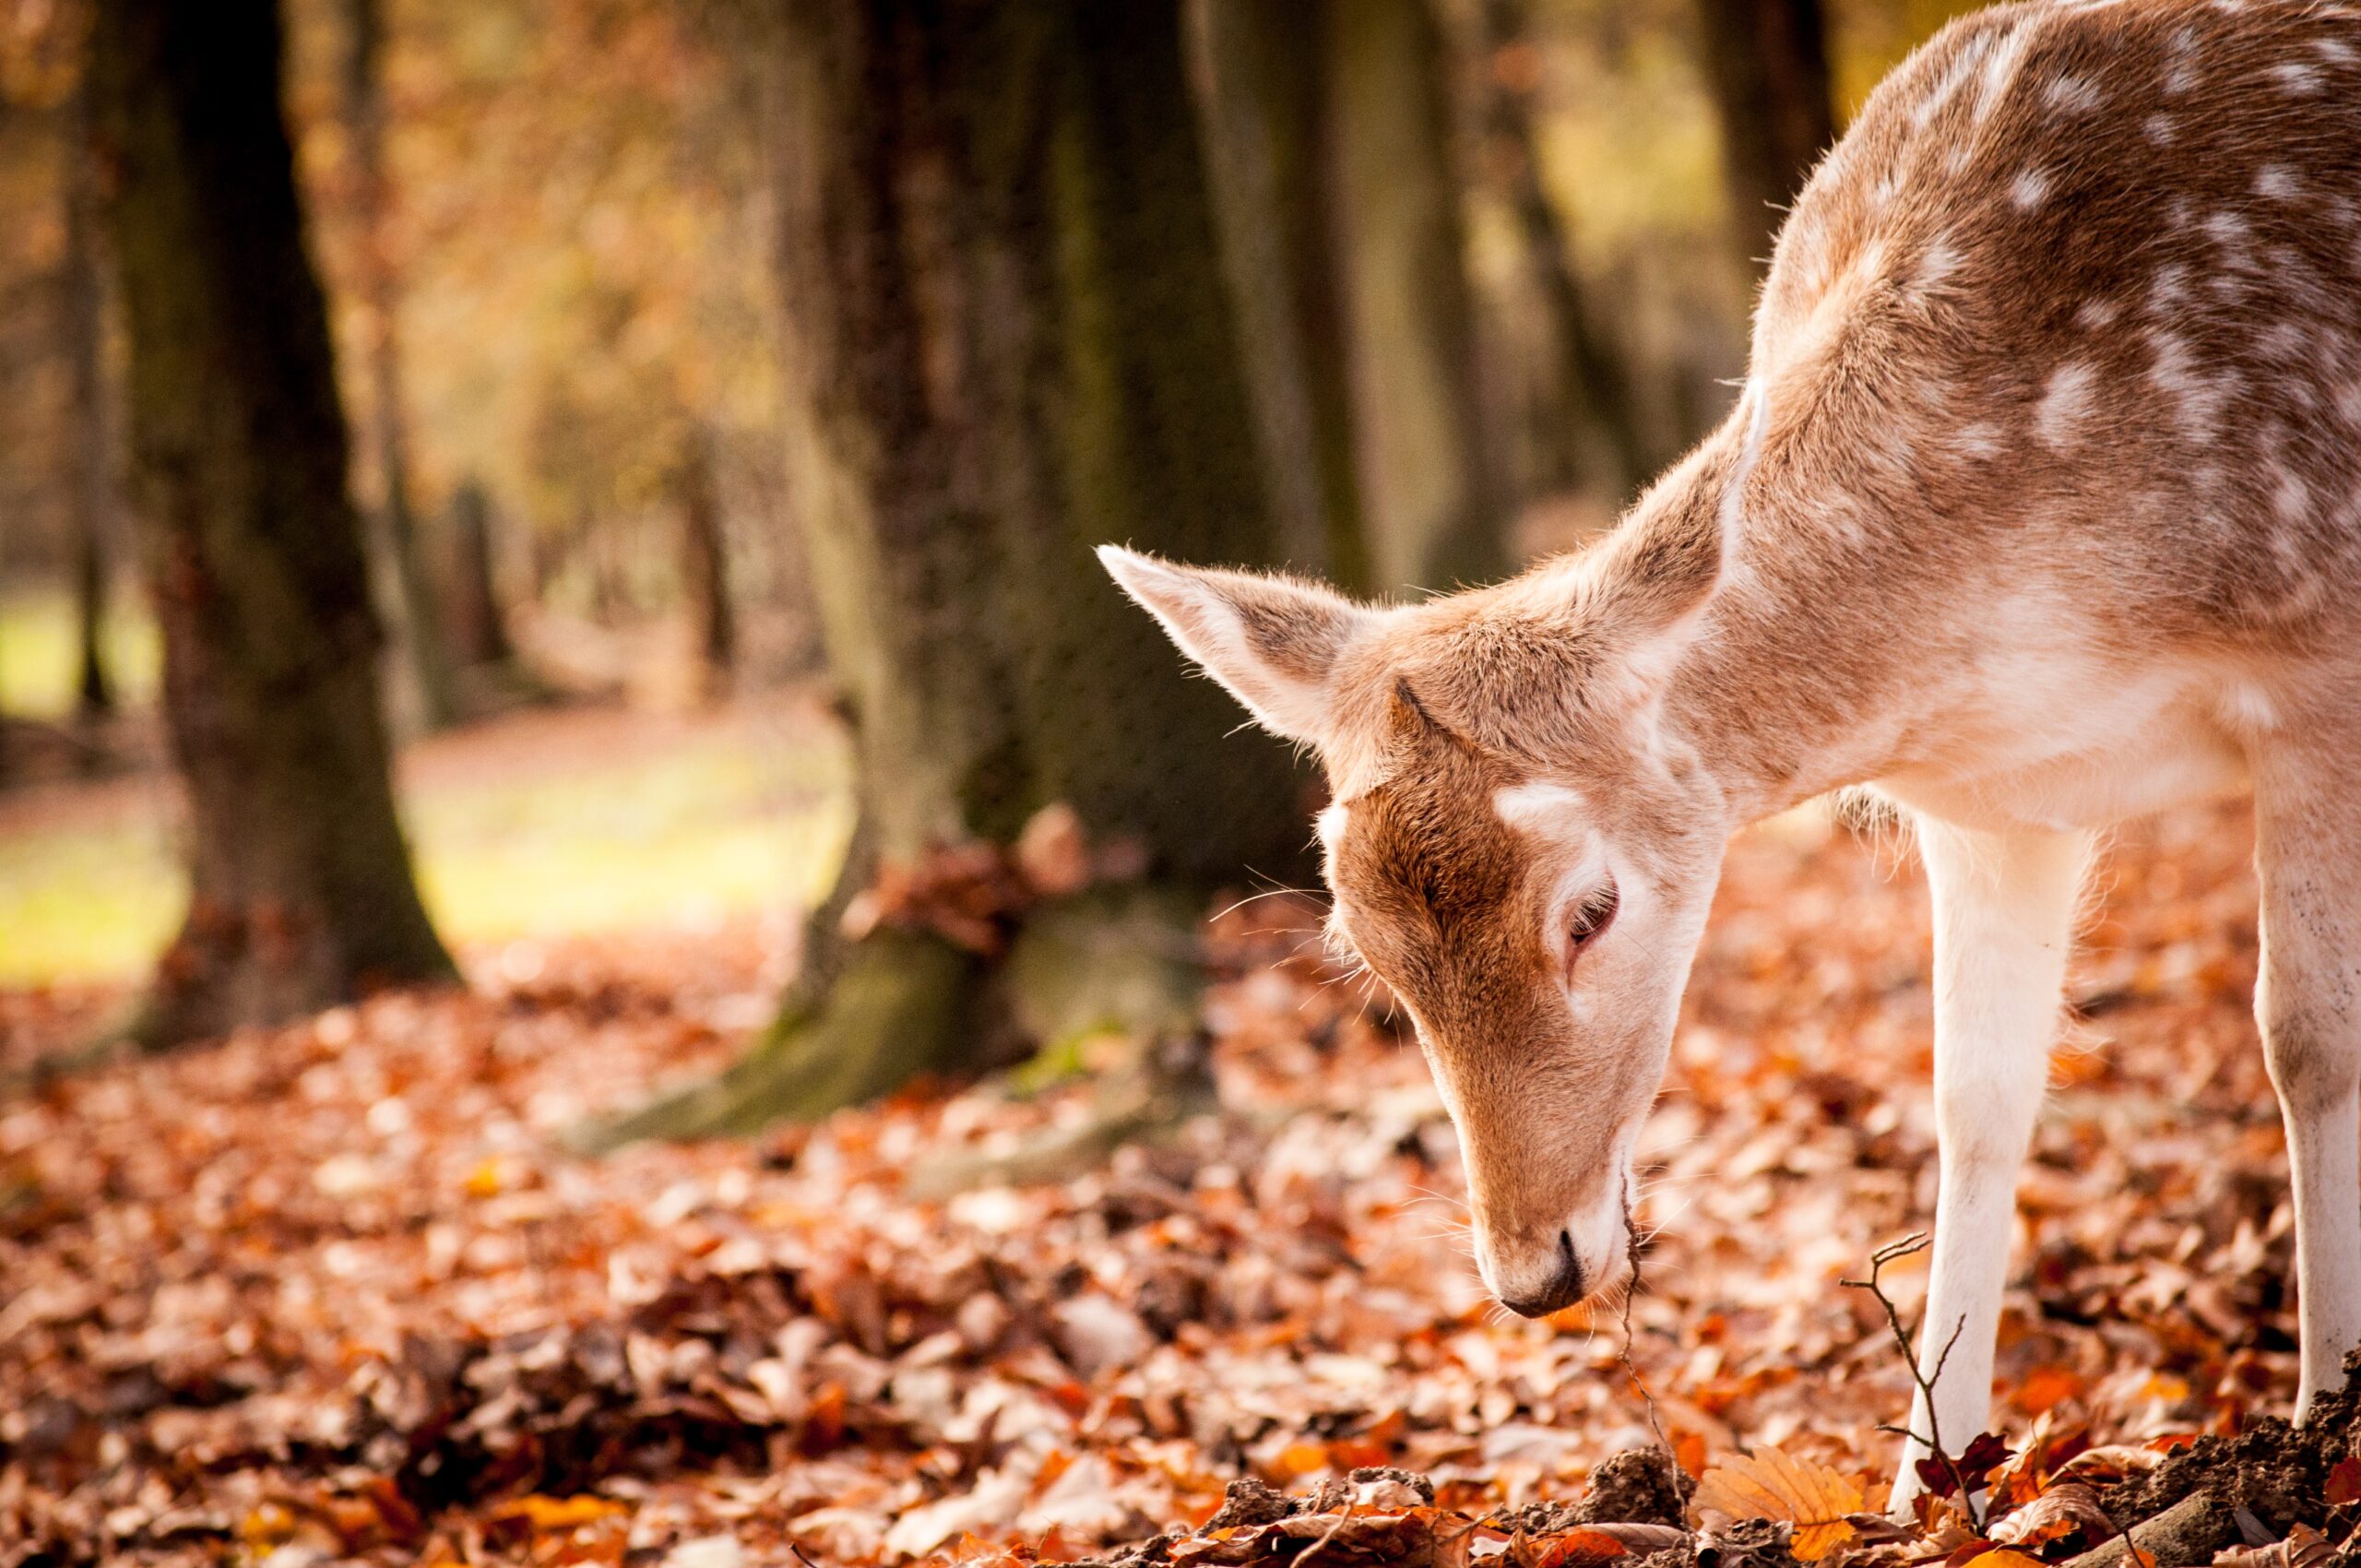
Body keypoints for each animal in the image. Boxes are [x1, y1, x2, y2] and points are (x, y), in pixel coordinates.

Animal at [1095, 0, 2361, 1502]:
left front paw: (2326, 1424)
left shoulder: (2317, 667)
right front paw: (1923, 1488)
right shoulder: (1995, 799)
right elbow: (1977, 1096)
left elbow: (2309, 1037)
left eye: (1591, 910)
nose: (1535, 1273)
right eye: (1366, 954)